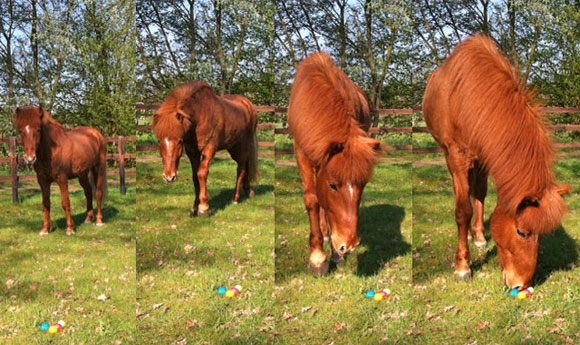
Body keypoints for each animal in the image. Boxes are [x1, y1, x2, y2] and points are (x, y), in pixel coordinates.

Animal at [14, 105, 107, 234]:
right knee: (88, 192)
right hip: (82, 174)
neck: (52, 151)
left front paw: (70, 229)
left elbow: (65, 202)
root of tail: (96, 134)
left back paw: (99, 220)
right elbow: (46, 203)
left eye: (38, 130)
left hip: (98, 168)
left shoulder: (62, 179)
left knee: (98, 192)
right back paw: (88, 218)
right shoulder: (42, 180)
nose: (29, 158)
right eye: (21, 131)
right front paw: (45, 229)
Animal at [152, 81, 258, 215]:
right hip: (233, 147)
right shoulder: (192, 152)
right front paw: (195, 207)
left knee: (241, 168)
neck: (199, 117)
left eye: (180, 141)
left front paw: (204, 208)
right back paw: (249, 191)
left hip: (242, 145)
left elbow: (201, 174)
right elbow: (194, 176)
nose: (169, 177)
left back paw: (236, 199)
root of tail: (248, 105)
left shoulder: (209, 149)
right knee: (246, 164)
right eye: (159, 140)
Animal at [288, 52, 382, 276]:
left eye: (363, 185)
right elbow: (312, 199)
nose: (348, 246)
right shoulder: (302, 153)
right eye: (333, 186)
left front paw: (334, 255)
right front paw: (317, 257)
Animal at [424, 34, 568, 288]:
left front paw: (480, 237)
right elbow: (462, 210)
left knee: (477, 192)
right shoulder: (457, 156)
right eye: (521, 232)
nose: (521, 285)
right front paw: (463, 267)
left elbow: (479, 195)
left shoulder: (484, 157)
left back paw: (478, 235)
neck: (468, 96)